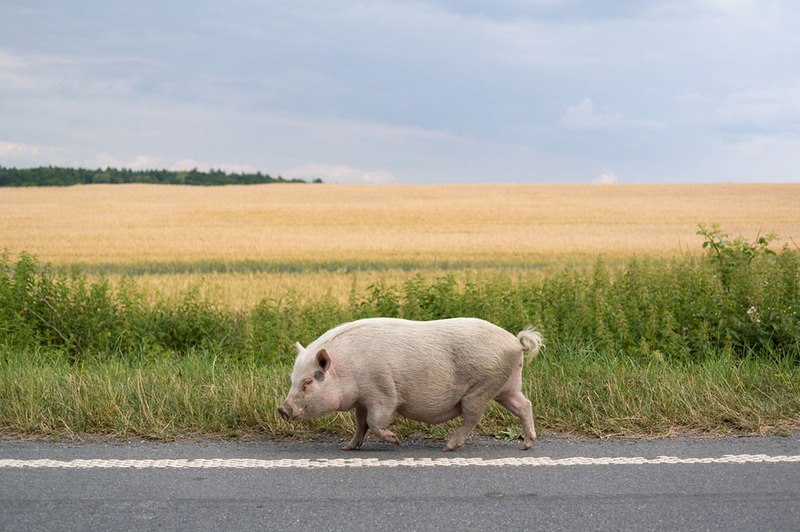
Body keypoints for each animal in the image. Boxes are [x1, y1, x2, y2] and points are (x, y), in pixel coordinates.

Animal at [278, 317, 544, 451]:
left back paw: (448, 447)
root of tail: (515, 342)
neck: (347, 369)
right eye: (293, 379)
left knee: (473, 417)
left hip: (481, 388)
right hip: (507, 385)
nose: (282, 409)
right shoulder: (361, 400)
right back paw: (527, 445)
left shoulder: (382, 392)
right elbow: (361, 424)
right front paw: (348, 448)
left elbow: (375, 422)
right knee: (524, 404)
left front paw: (396, 440)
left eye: (308, 381)